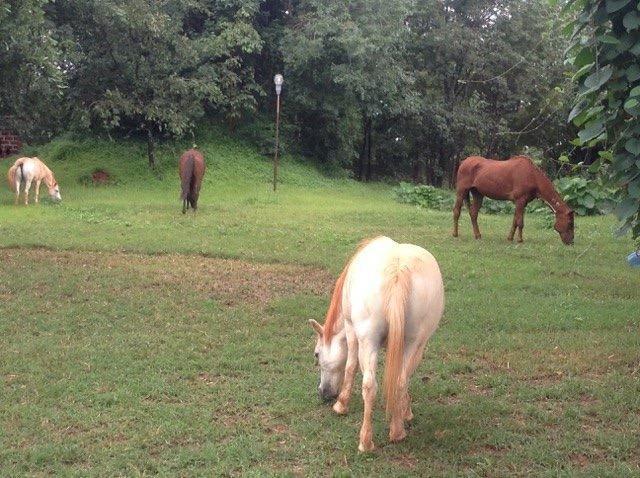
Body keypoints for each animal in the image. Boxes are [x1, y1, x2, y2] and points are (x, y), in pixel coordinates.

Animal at [312, 237, 444, 454]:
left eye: (316, 354)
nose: (324, 393)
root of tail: (398, 269)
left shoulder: (350, 329)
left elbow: (350, 367)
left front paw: (341, 405)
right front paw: (405, 411)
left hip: (368, 340)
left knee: (369, 385)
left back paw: (365, 442)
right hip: (413, 342)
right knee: (400, 381)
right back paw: (397, 432)